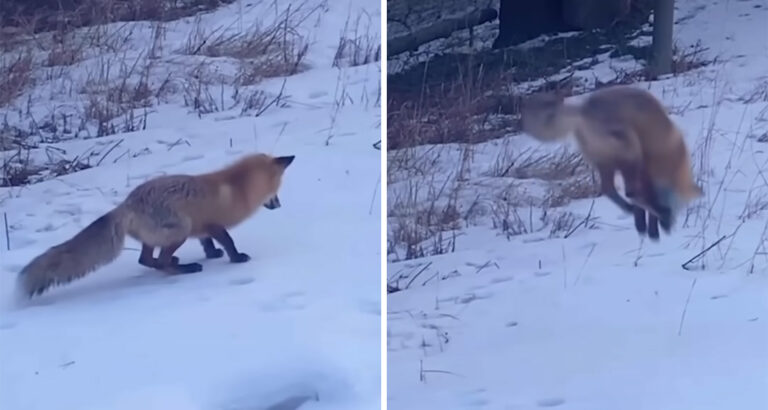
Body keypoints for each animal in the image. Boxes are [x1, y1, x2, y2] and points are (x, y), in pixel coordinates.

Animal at [18, 152, 294, 296]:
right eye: (277, 192)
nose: (279, 206)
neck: (237, 188)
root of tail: (127, 204)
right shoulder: (212, 224)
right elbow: (229, 241)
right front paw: (235, 258)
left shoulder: (201, 227)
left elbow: (207, 243)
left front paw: (213, 254)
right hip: (181, 229)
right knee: (158, 261)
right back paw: (185, 269)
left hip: (162, 236)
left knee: (147, 260)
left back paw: (175, 263)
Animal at [520, 85, 704, 240]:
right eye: (679, 208)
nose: (669, 228)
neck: (673, 160)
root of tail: (584, 110)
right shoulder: (648, 174)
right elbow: (647, 203)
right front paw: (654, 226)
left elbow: (643, 207)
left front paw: (645, 229)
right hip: (631, 153)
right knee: (630, 193)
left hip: (606, 164)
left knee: (609, 190)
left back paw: (629, 209)